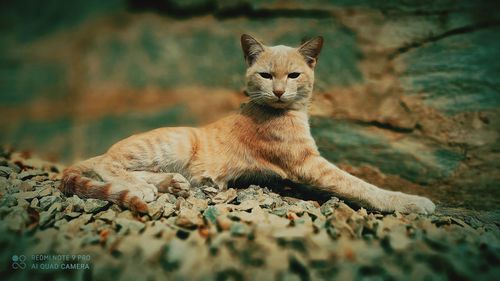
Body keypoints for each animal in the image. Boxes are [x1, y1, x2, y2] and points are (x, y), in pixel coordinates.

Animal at [57, 34, 434, 213]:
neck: (288, 111)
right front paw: (410, 202)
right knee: (107, 166)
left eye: (294, 75)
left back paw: (170, 183)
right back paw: (143, 187)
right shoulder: (309, 163)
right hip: (176, 142)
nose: (279, 91)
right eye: (266, 75)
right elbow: (360, 185)